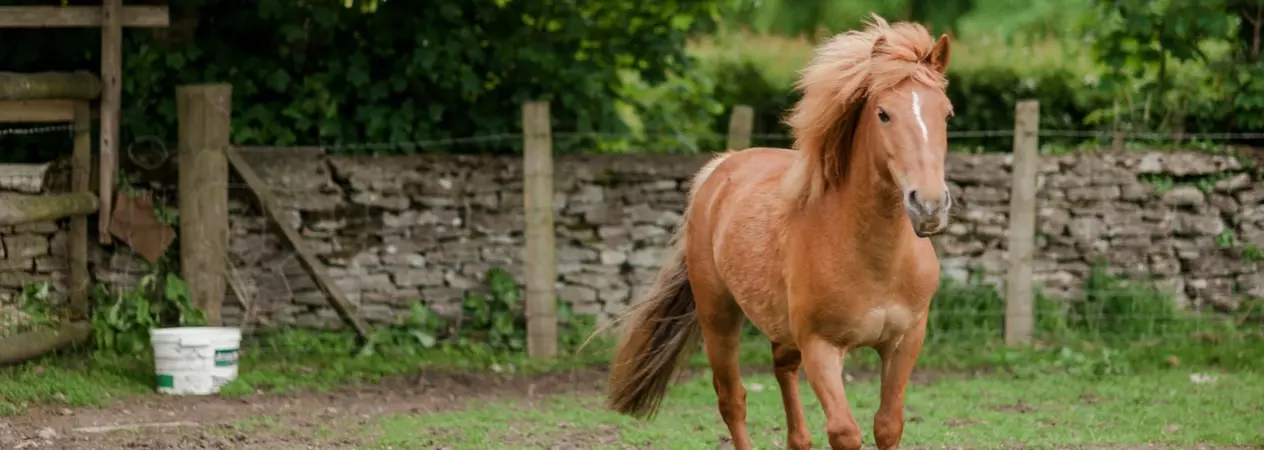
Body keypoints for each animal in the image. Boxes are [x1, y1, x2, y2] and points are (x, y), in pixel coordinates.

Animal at [603, 15, 955, 450]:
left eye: (947, 114)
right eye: (883, 113)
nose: (929, 206)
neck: (874, 259)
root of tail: (720, 169)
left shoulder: (904, 342)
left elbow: (887, 426)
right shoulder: (821, 347)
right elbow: (844, 431)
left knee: (784, 377)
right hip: (718, 317)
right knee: (732, 401)